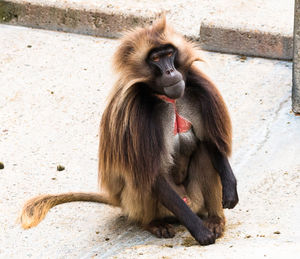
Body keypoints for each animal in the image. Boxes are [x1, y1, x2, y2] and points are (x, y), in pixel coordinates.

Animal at [19, 16, 238, 246]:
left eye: (169, 54)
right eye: (155, 59)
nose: (170, 72)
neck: (167, 99)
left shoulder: (197, 93)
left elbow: (209, 142)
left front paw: (230, 188)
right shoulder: (136, 114)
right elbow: (152, 173)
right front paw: (200, 231)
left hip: (194, 199)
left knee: (204, 152)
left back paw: (215, 219)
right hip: (159, 204)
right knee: (140, 178)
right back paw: (154, 223)